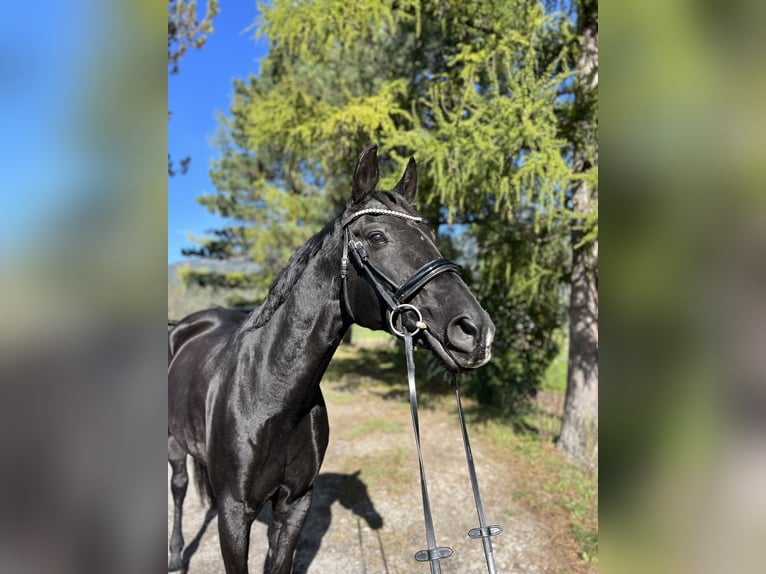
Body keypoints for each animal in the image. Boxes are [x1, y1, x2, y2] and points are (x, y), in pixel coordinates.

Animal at [166, 147, 498, 574]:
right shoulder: (233, 514)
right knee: (178, 488)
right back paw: (176, 556)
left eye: (433, 238)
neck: (270, 394)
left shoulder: (295, 504)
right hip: (173, 444)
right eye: (376, 236)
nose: (475, 331)